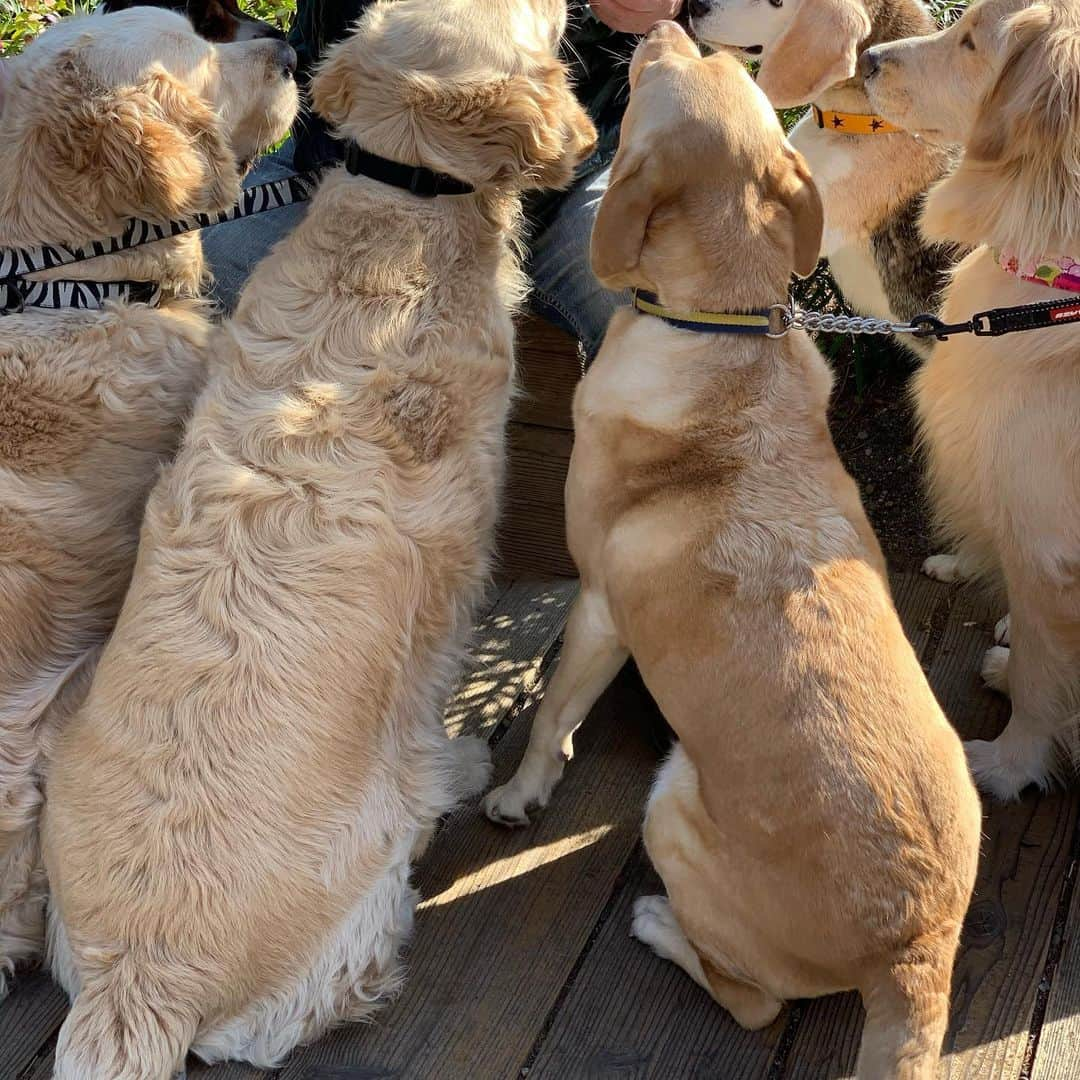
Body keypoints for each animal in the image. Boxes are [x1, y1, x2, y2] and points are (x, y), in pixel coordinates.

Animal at [39, 4, 600, 1075]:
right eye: (539, 23)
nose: (586, 20)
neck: (402, 200)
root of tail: (134, 985)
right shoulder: (456, 570)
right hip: (366, 885)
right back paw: (461, 774)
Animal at [486, 21, 984, 1075]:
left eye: (665, 78)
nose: (667, 24)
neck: (722, 325)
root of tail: (915, 956)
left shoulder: (598, 607)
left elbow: (553, 716)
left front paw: (519, 793)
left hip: (670, 804)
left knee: (750, 1003)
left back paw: (659, 927)